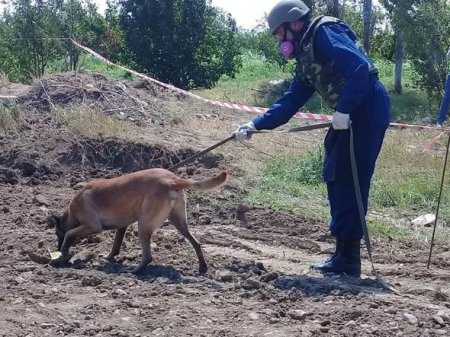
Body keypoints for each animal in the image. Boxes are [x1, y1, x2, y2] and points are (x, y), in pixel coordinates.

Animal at [48, 168, 229, 272]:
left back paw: (135, 271)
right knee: (196, 243)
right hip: (179, 222)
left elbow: (70, 233)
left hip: (143, 226)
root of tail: (172, 179)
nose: (56, 248)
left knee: (148, 256)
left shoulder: (92, 226)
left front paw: (63, 251)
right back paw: (202, 267)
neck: (72, 211)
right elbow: (116, 245)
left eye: (57, 234)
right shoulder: (122, 226)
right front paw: (109, 258)